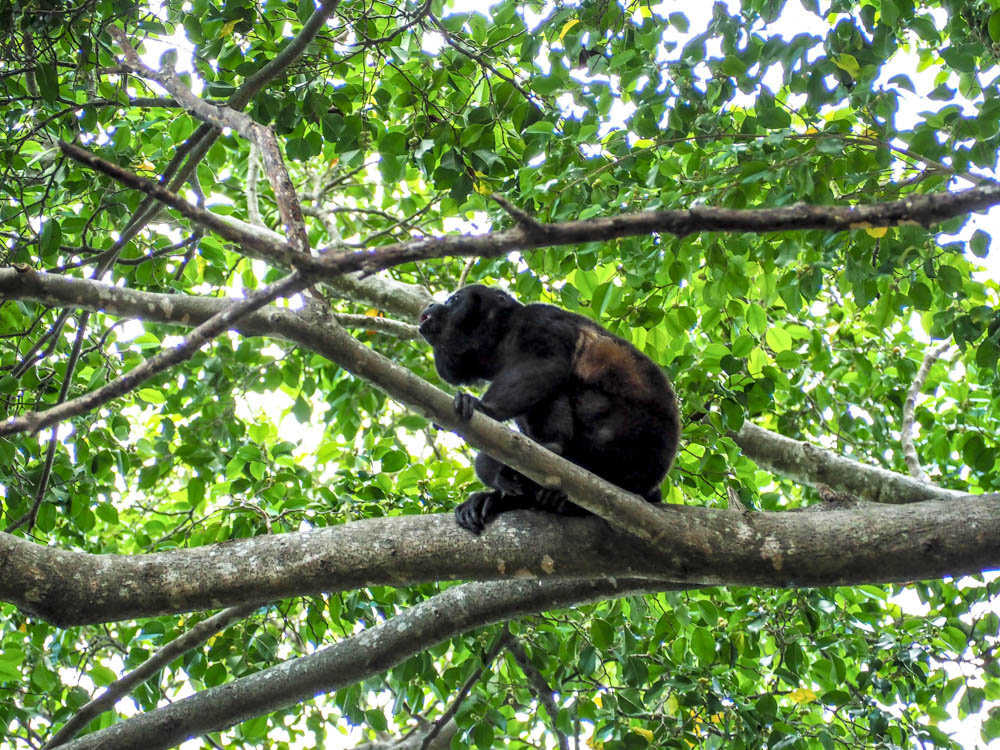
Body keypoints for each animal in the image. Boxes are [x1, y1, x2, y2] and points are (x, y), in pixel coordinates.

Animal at [418, 284, 684, 536]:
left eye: (454, 299)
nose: (431, 305)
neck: (501, 339)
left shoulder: (540, 320)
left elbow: (547, 363)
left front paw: (483, 408)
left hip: (629, 435)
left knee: (563, 386)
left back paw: (553, 451)